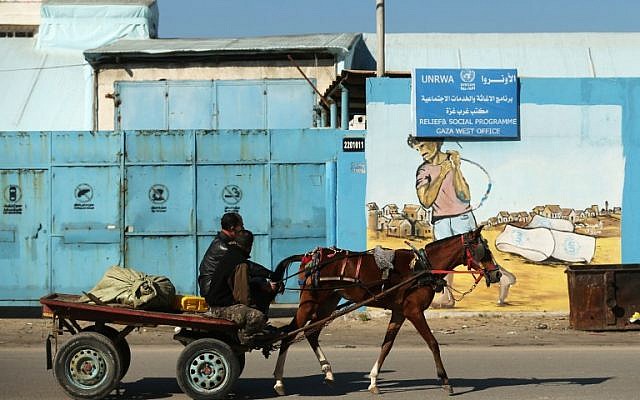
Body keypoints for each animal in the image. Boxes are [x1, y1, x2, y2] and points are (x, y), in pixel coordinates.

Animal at [268, 227, 502, 396]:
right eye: (484, 250)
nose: (497, 274)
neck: (422, 267)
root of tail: (308, 257)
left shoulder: (400, 312)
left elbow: (386, 346)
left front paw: (373, 382)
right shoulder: (414, 311)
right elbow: (433, 343)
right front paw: (445, 381)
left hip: (328, 301)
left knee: (311, 333)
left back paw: (328, 373)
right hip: (309, 301)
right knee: (289, 334)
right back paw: (279, 381)